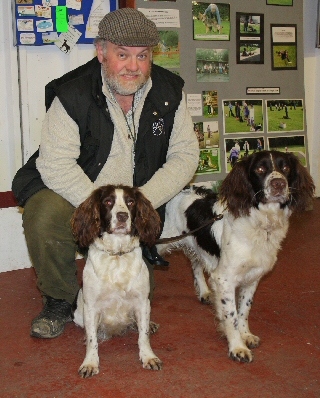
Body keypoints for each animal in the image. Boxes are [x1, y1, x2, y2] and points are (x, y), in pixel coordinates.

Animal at [72, 185, 162, 378]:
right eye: (107, 202)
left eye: (131, 202)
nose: (122, 216)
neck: (117, 256)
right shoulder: (91, 306)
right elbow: (92, 339)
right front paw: (90, 363)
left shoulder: (142, 302)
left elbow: (143, 335)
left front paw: (148, 356)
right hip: (79, 313)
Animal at [159, 151, 314, 362]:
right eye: (260, 169)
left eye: (286, 168)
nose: (279, 184)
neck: (260, 224)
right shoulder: (225, 279)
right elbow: (231, 315)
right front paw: (237, 346)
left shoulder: (253, 277)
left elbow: (244, 310)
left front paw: (245, 334)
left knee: (195, 263)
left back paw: (204, 292)